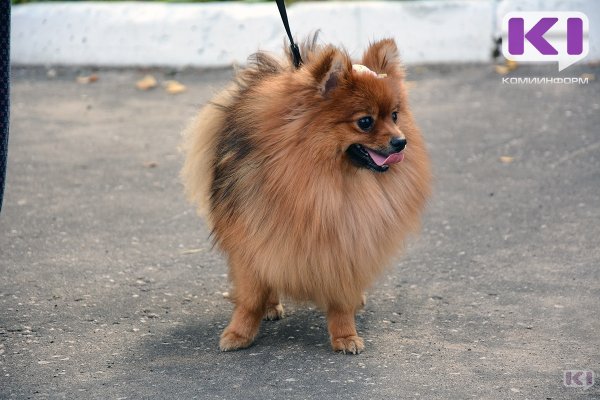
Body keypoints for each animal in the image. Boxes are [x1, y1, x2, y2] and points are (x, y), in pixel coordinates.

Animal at [180, 36, 428, 354]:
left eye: (395, 115)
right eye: (365, 121)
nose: (401, 142)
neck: (324, 180)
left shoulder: (345, 243)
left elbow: (341, 299)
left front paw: (345, 335)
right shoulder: (251, 239)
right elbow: (249, 296)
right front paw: (239, 332)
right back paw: (270, 306)